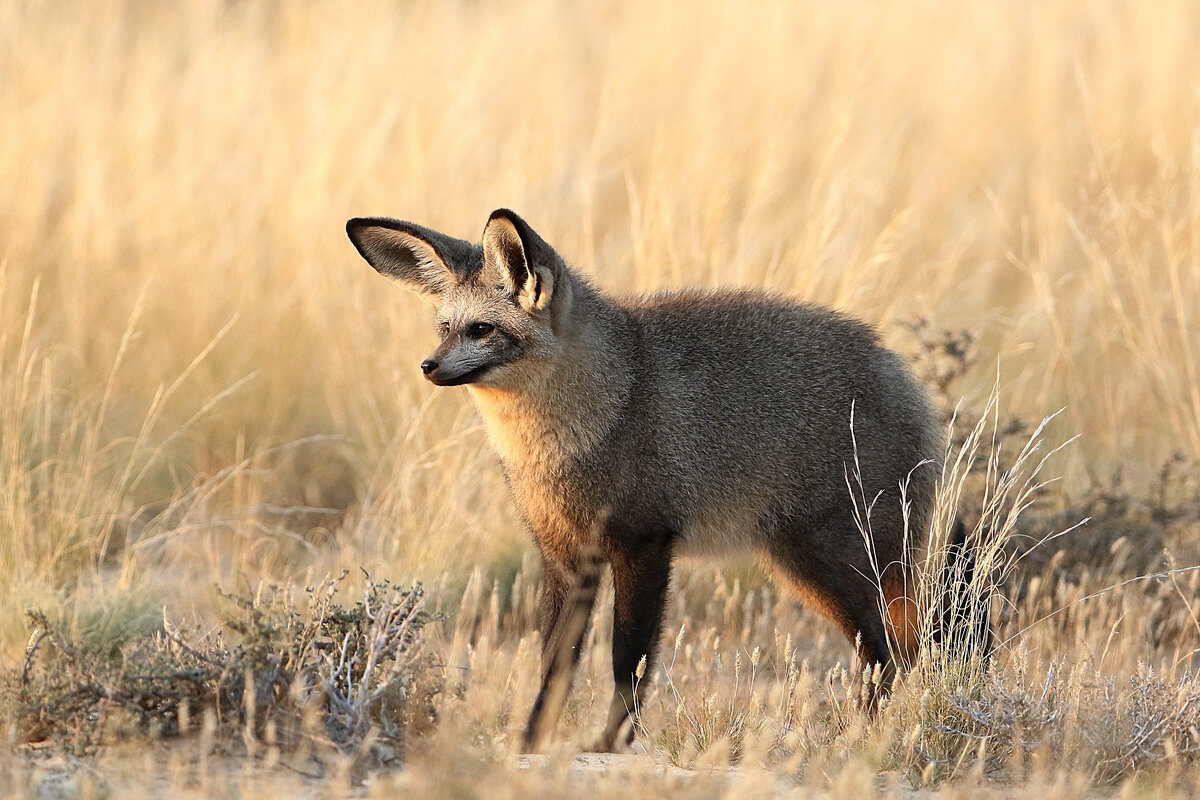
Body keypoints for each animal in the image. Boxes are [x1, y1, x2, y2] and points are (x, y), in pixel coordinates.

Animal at [345, 209, 984, 753]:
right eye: (444, 328)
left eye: (482, 329)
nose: (427, 366)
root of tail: (902, 372)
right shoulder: (565, 554)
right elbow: (554, 664)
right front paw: (530, 743)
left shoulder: (643, 543)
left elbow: (628, 659)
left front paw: (611, 745)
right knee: (906, 648)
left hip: (823, 561)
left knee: (889, 652)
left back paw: (857, 741)